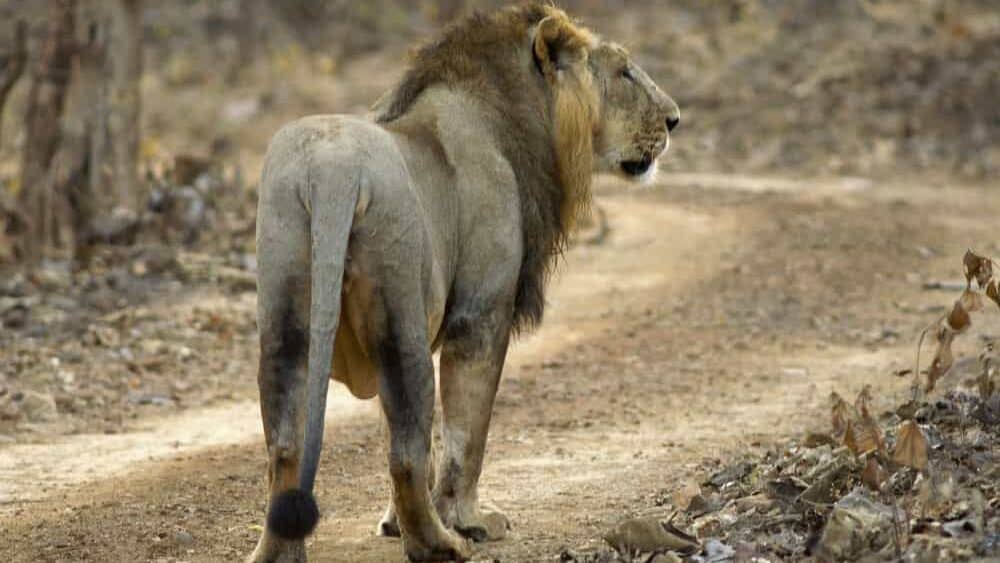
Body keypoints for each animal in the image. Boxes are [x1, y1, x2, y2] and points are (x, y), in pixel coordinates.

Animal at [249, 4, 679, 562]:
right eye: (625, 72)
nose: (674, 119)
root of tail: (331, 171)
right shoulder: (481, 313)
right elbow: (465, 433)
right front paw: (469, 520)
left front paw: (392, 524)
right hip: (400, 323)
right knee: (405, 454)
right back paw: (439, 544)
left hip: (284, 316)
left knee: (285, 448)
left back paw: (280, 551)